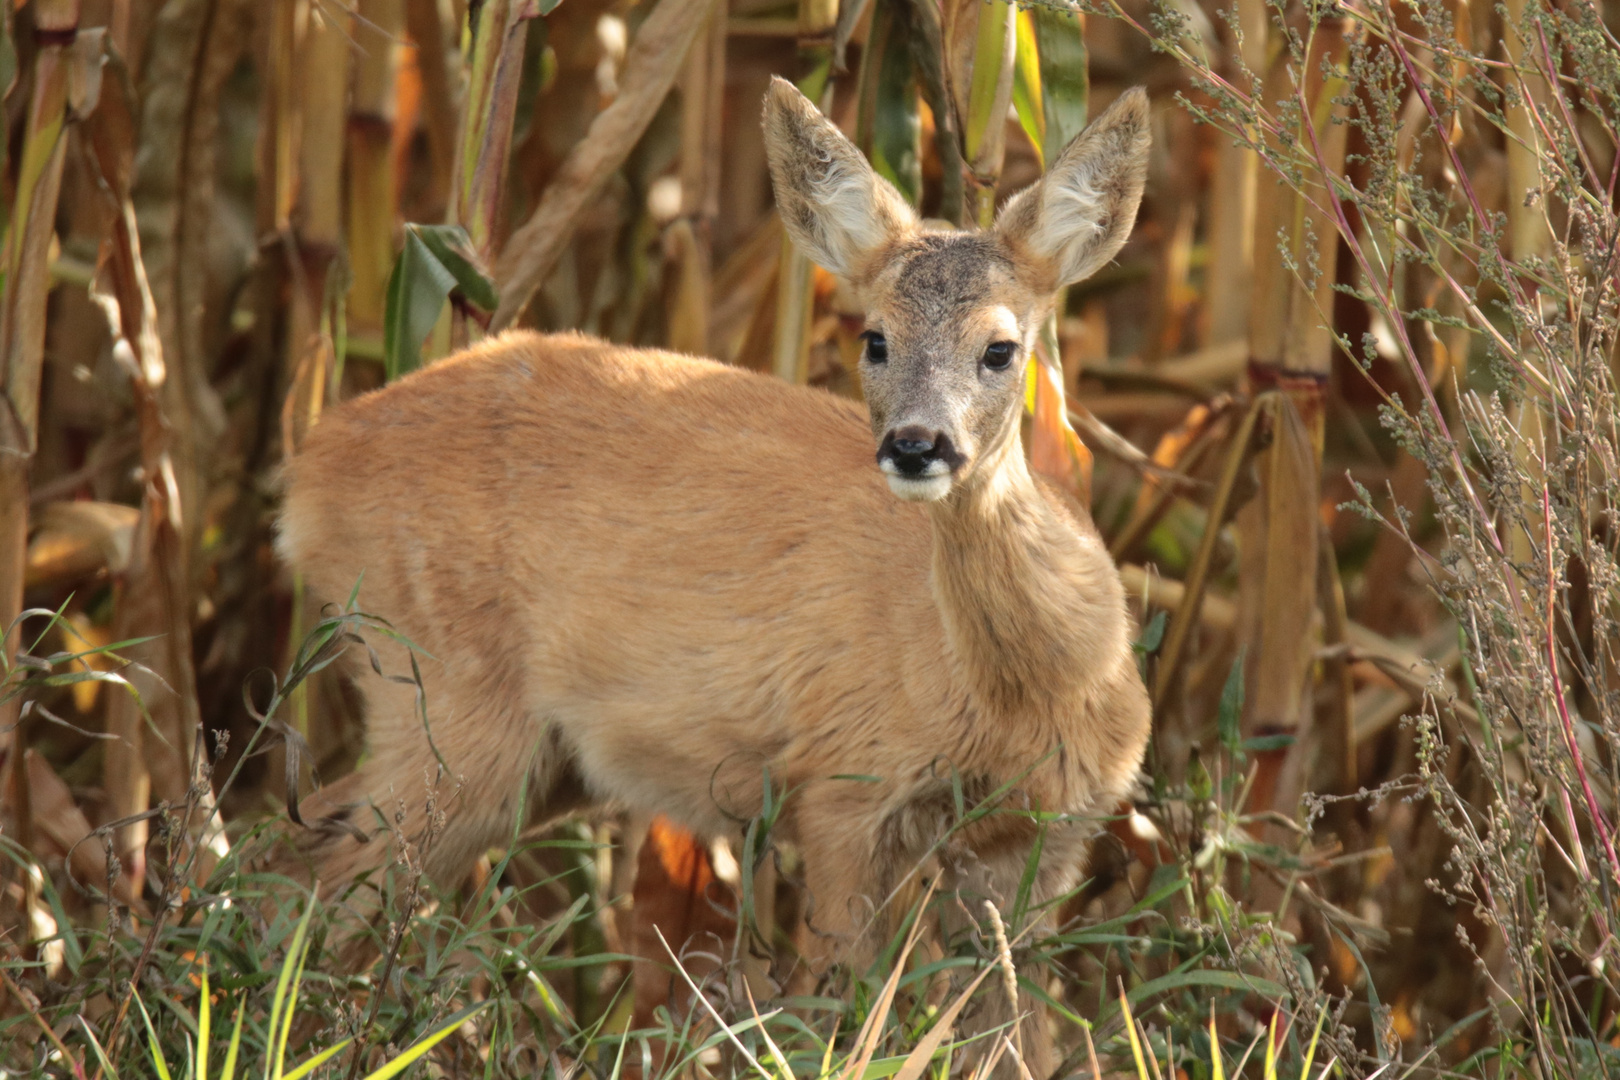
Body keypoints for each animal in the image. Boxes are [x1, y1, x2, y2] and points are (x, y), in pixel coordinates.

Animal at [272, 80, 1153, 1075]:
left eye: (1001, 348)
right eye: (874, 339)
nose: (916, 445)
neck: (1030, 692)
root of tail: (309, 474)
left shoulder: (1051, 834)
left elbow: (1018, 1033)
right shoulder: (845, 785)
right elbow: (841, 1005)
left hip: (530, 756)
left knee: (297, 849)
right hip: (442, 691)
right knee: (322, 876)